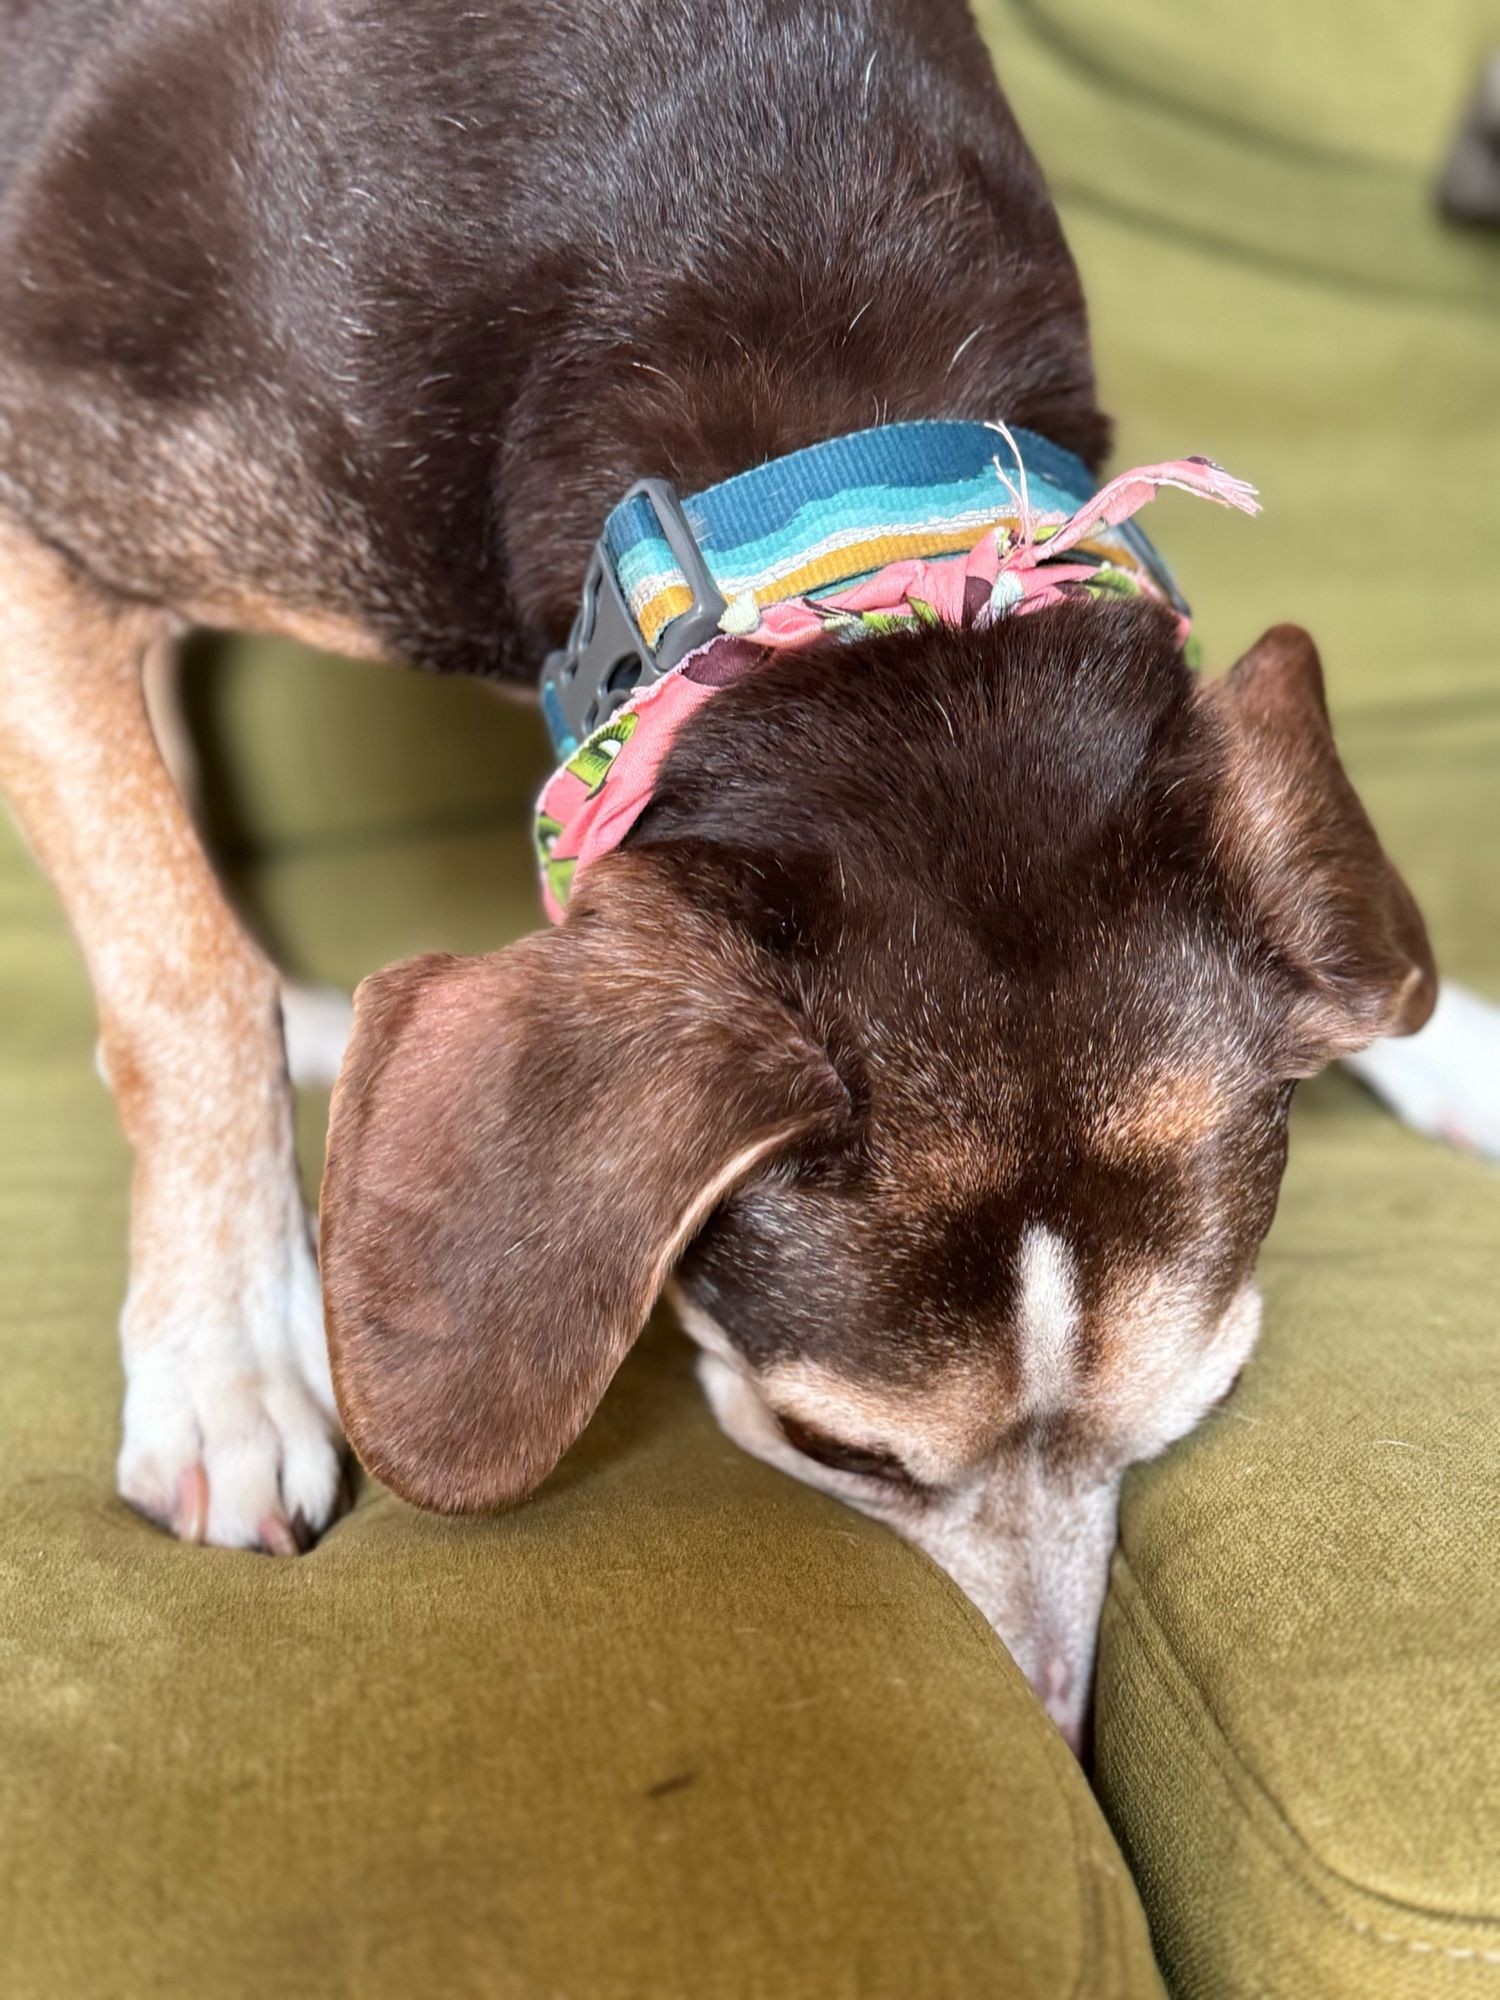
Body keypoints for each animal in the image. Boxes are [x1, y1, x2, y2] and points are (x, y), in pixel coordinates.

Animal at [5, 0, 1448, 1752]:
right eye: (838, 1455)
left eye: (1202, 1411)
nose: (1058, 1732)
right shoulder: (46, 508)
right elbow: (180, 968)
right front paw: (222, 1355)